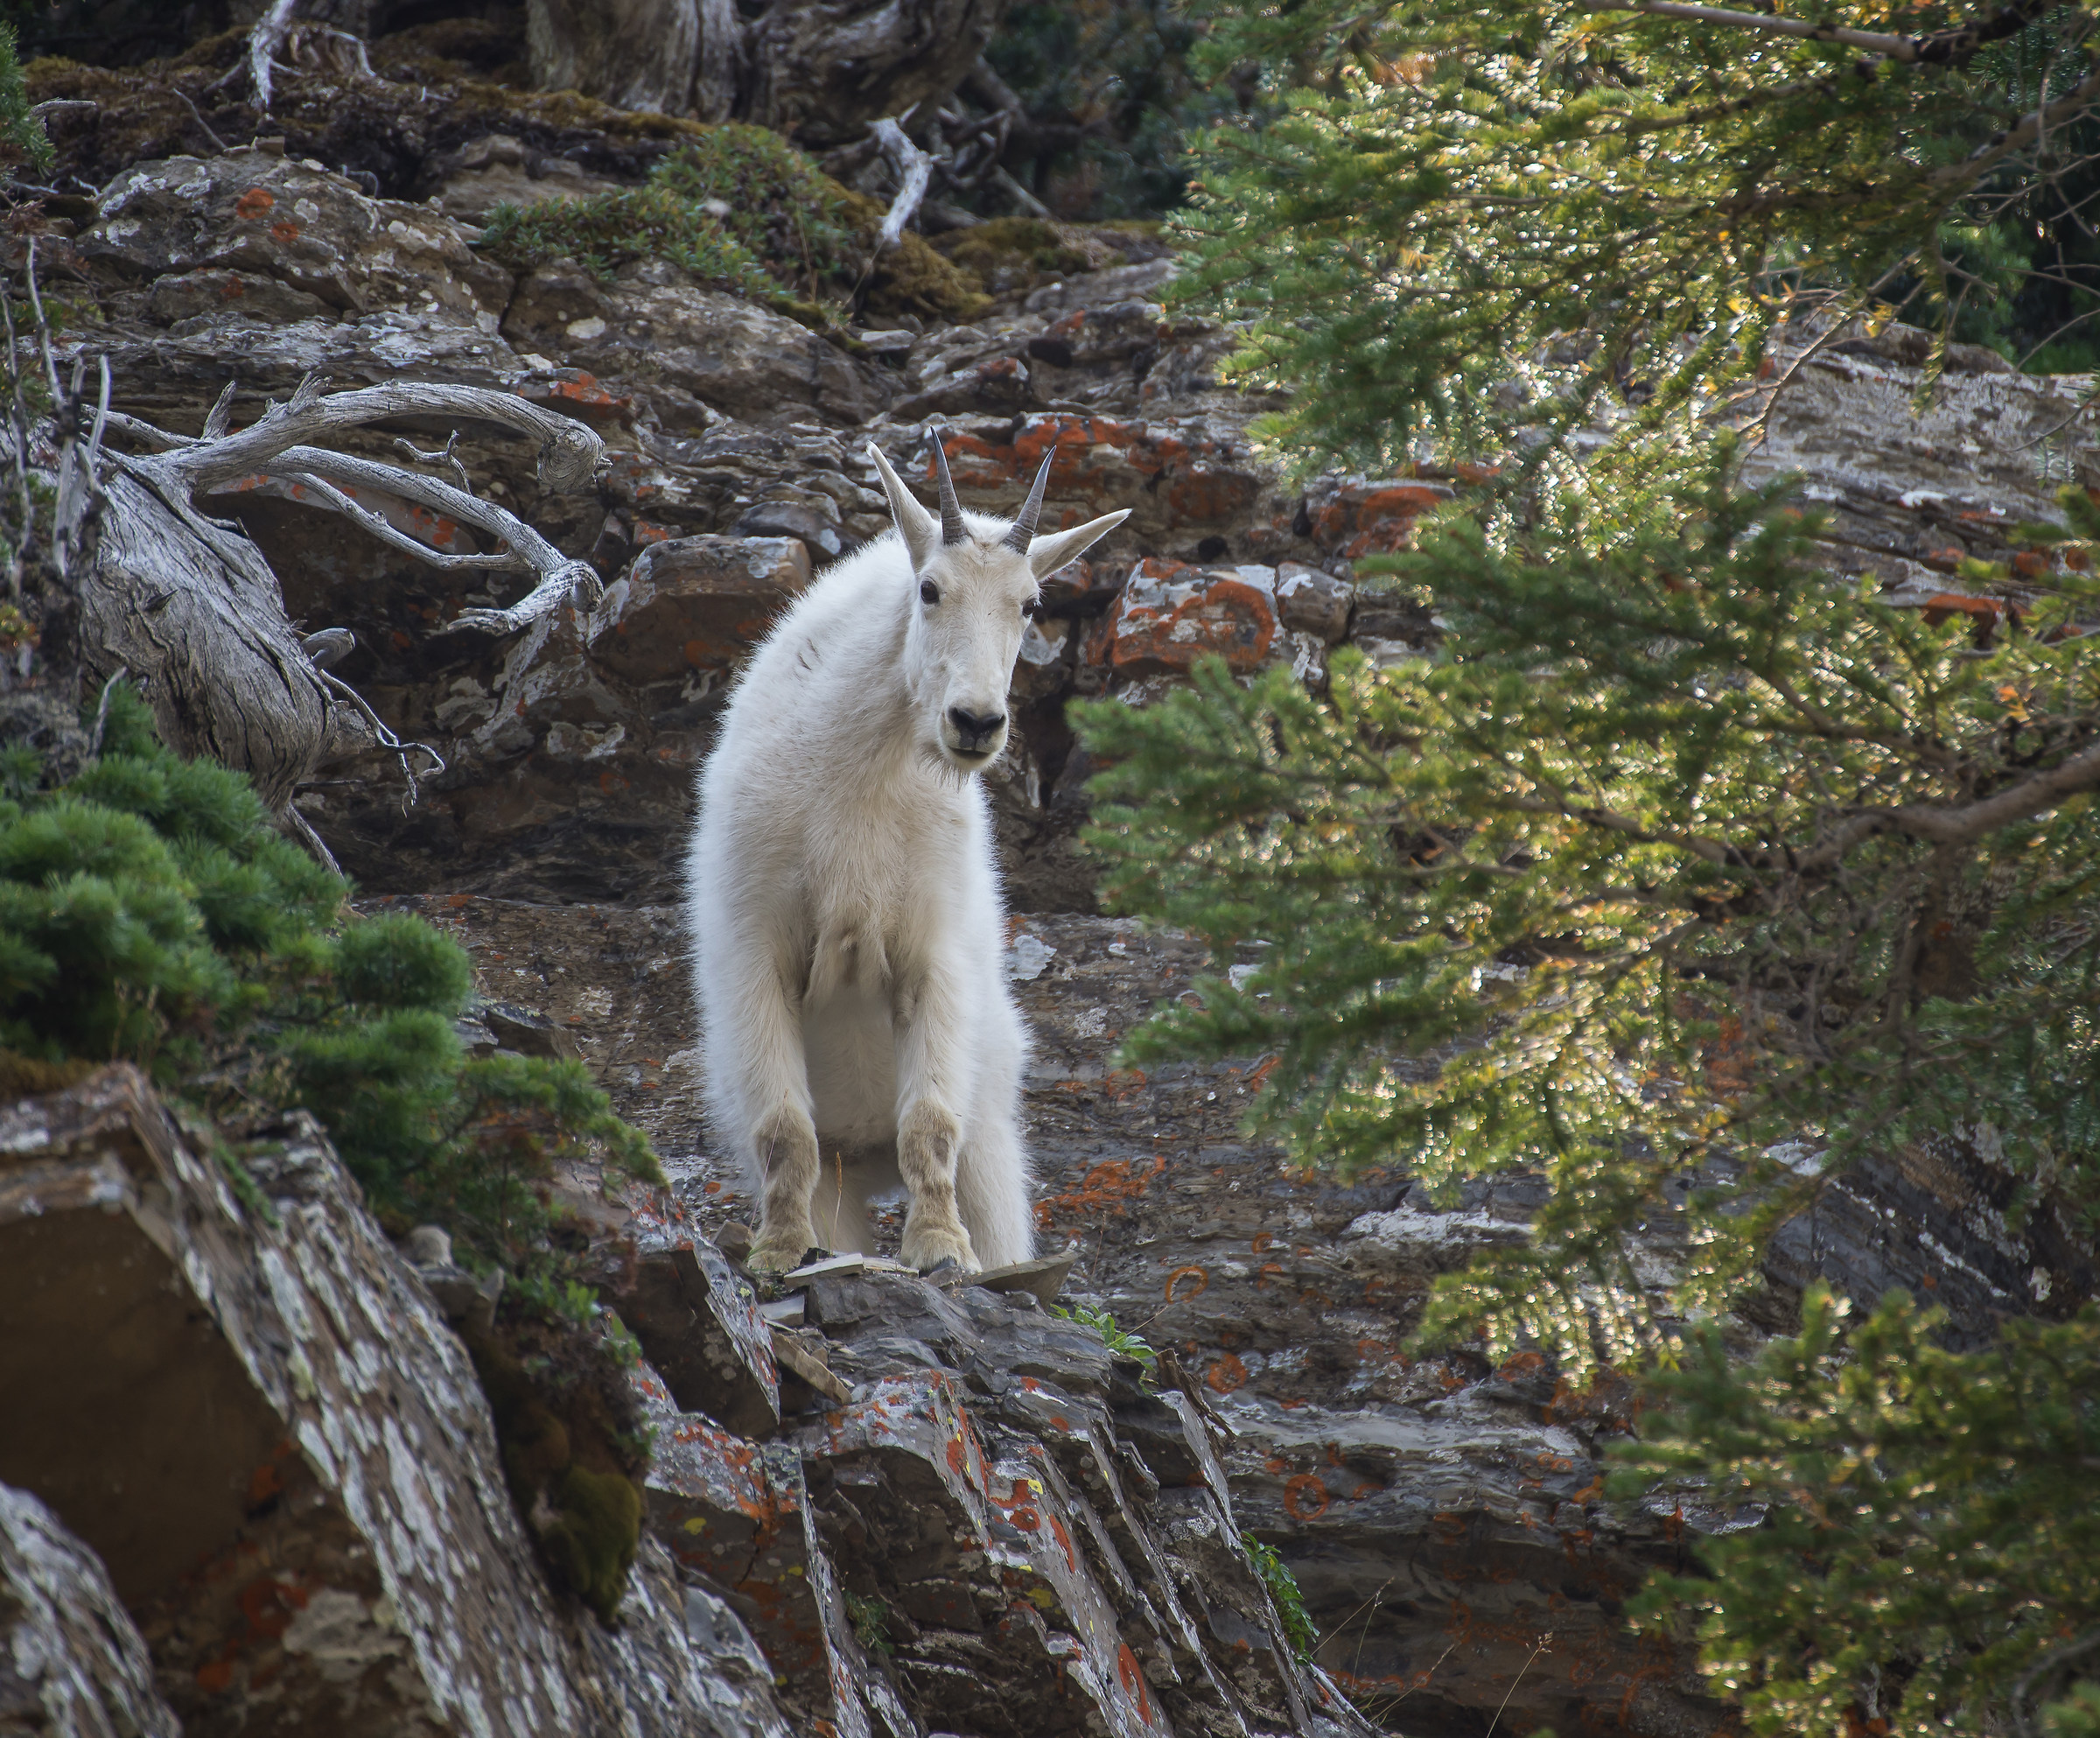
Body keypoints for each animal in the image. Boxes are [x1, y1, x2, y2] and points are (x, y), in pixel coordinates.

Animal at [687, 436, 1129, 1273]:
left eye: (1030, 604)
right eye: (930, 589)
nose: (976, 722)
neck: (866, 774)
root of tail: (869, 1160)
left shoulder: (933, 951)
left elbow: (929, 1123)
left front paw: (939, 1249)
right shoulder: (757, 945)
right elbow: (781, 1130)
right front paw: (777, 1252)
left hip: (993, 1139)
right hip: (840, 1180)